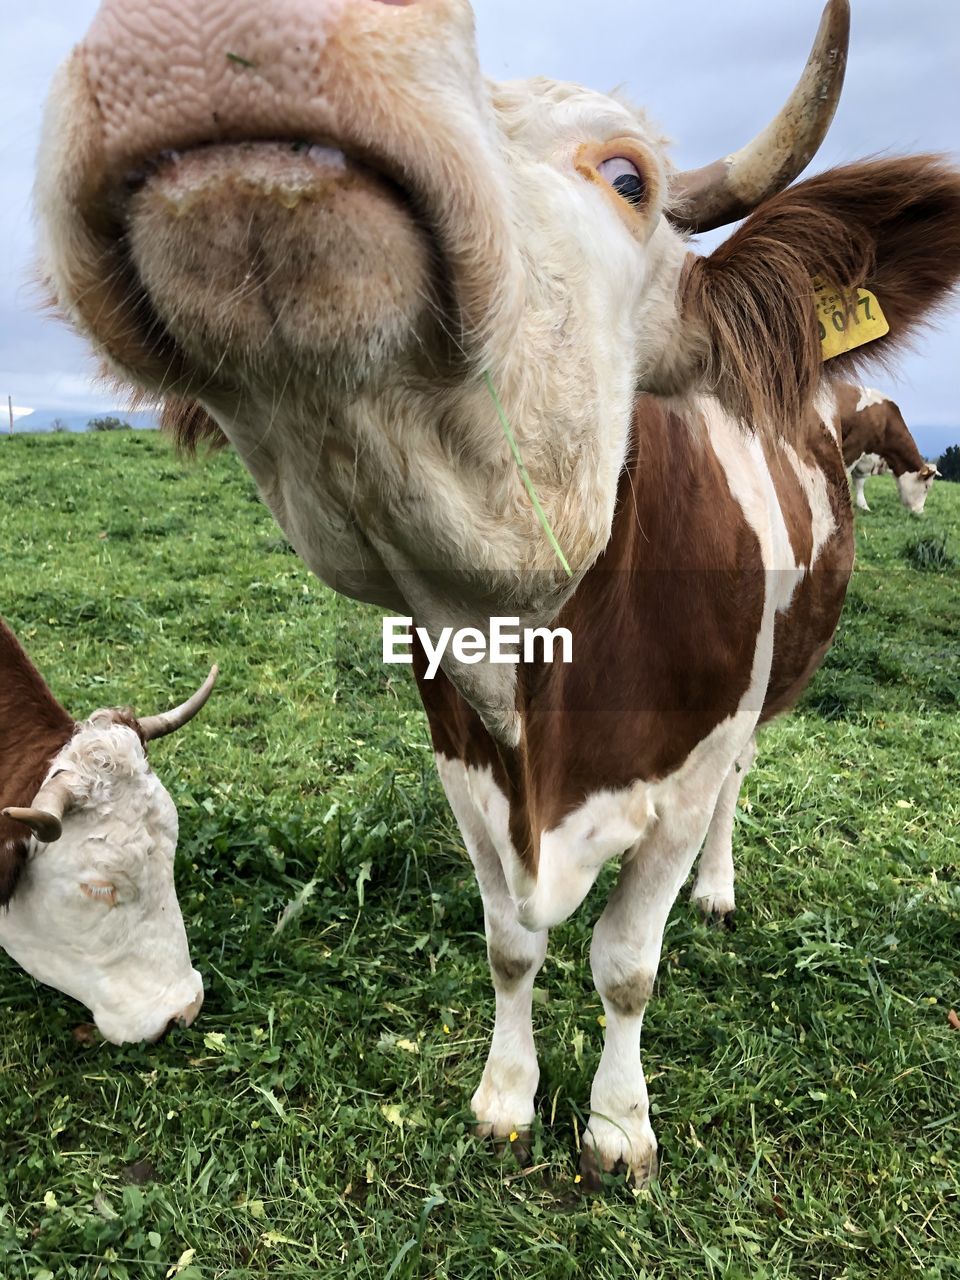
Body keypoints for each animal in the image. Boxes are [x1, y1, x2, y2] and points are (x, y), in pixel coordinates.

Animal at [839, 381, 942, 512]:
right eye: (927, 487)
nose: (920, 511)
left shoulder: (866, 458)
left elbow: (859, 482)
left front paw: (864, 506)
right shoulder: (854, 446)